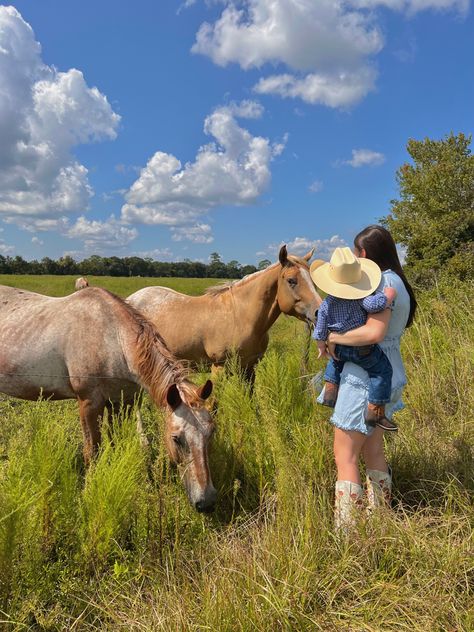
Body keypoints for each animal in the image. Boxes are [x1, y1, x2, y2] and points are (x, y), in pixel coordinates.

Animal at [0, 286, 217, 512]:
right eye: (176, 438)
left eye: (211, 433)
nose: (207, 502)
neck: (112, 340)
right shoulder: (89, 403)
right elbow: (92, 451)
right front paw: (89, 492)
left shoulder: (121, 403)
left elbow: (115, 442)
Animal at [128, 246, 324, 376]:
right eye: (291, 280)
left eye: (313, 280)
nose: (319, 313)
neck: (242, 317)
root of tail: (131, 299)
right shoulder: (219, 369)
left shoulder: (249, 368)